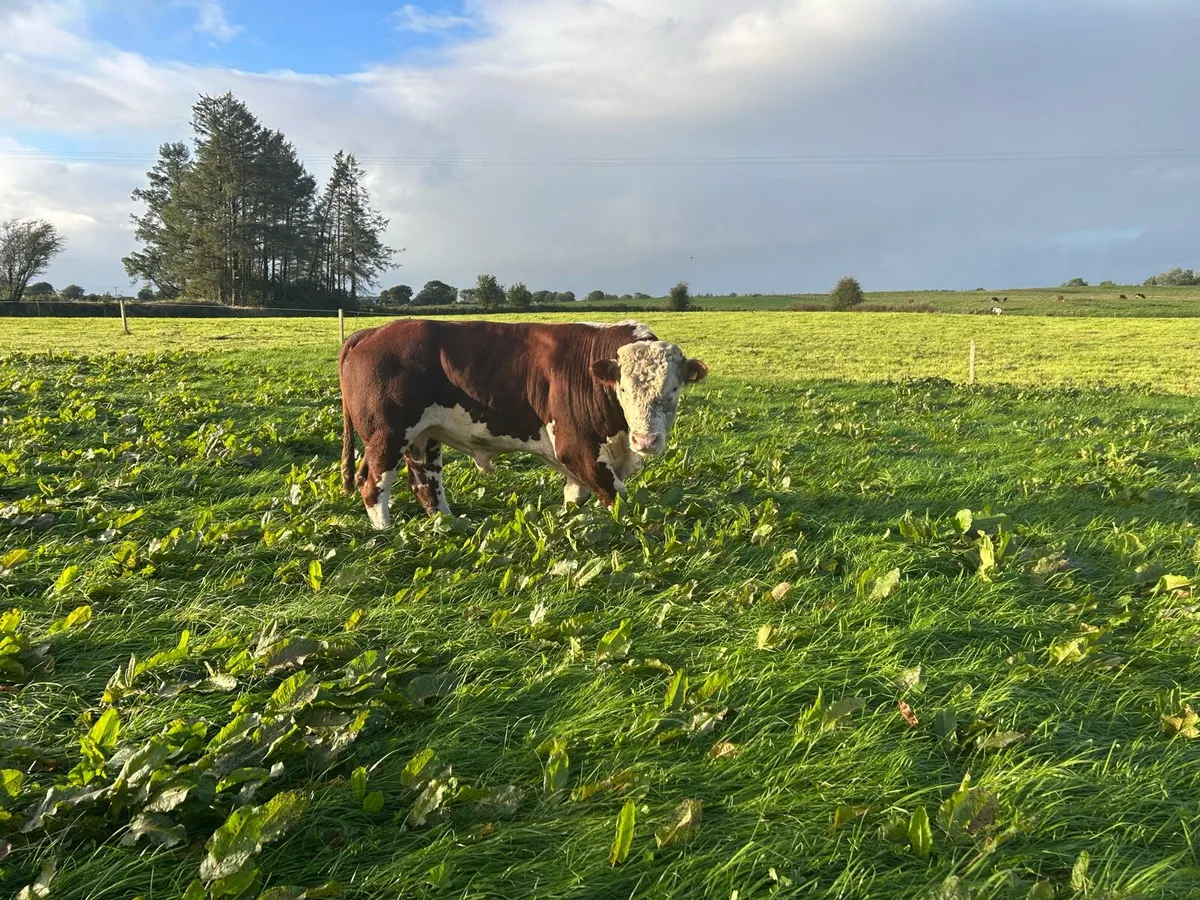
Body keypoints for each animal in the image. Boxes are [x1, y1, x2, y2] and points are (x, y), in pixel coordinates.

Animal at [338, 319, 709, 528]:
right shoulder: (577, 447)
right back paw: (386, 531)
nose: (646, 441)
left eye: (674, 388)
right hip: (387, 435)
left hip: (423, 436)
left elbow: (576, 496)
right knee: (373, 483)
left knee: (425, 483)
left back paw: (449, 524)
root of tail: (373, 331)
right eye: (622, 388)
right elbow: (617, 496)